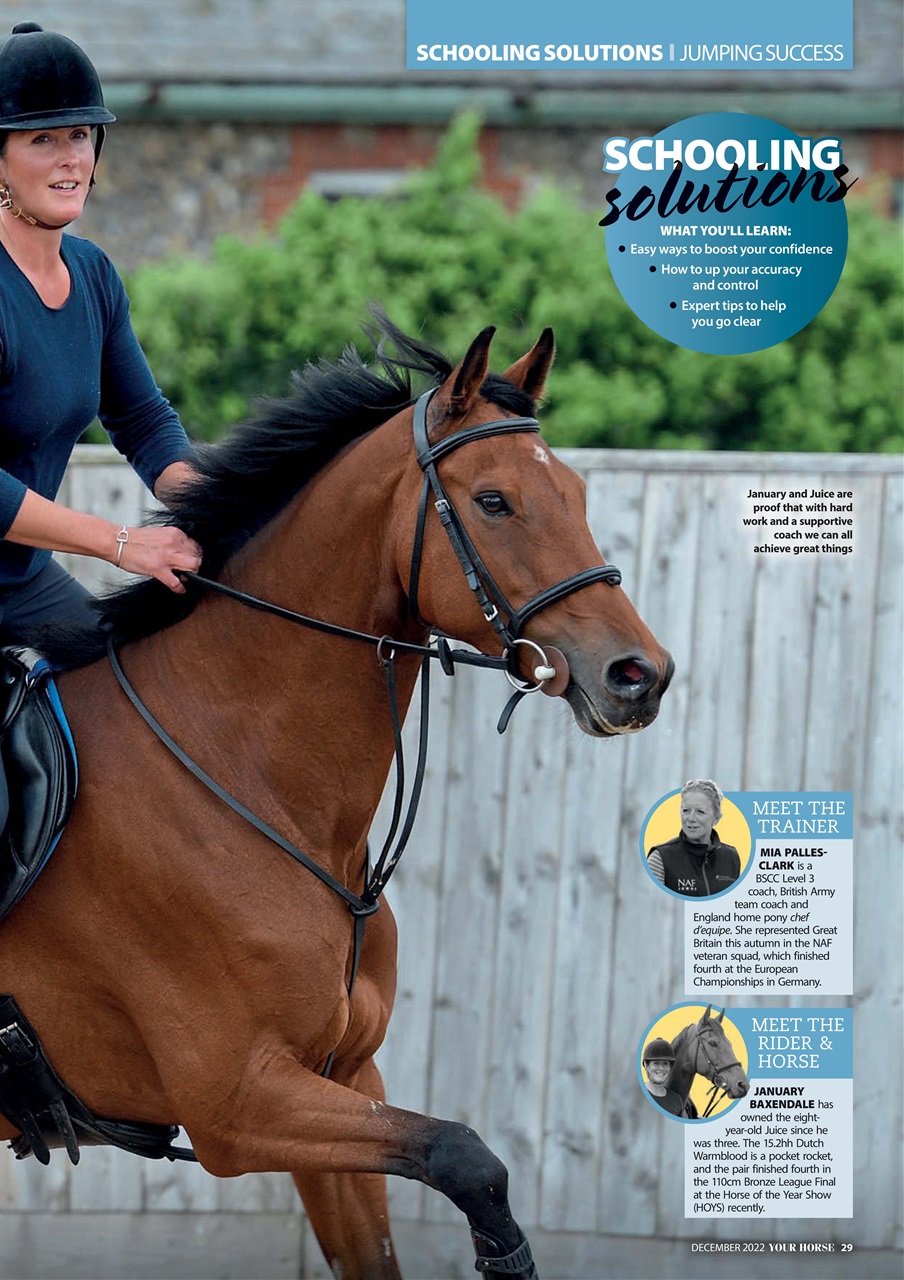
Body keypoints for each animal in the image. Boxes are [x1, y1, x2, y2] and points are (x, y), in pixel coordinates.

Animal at [0, 315, 673, 1279]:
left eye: (575, 492)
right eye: (494, 502)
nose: (638, 676)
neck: (250, 782)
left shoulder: (343, 1079)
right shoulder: (240, 1105)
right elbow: (467, 1156)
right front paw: (503, 1254)